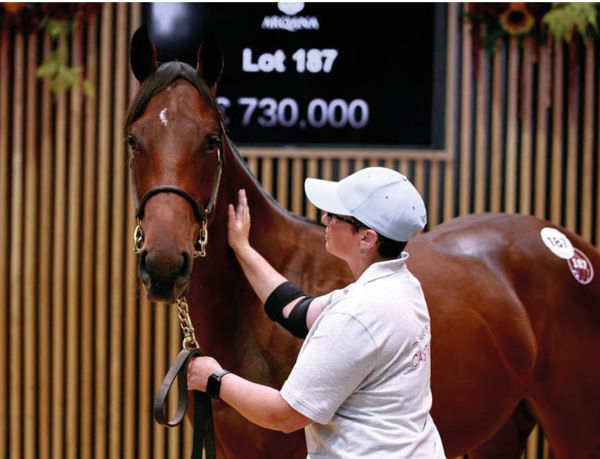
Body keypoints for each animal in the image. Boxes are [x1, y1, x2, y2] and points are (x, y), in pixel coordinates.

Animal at [126, 27, 600, 458]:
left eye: (211, 140)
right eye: (133, 140)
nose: (165, 265)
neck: (245, 319)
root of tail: (577, 250)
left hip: (575, 426)